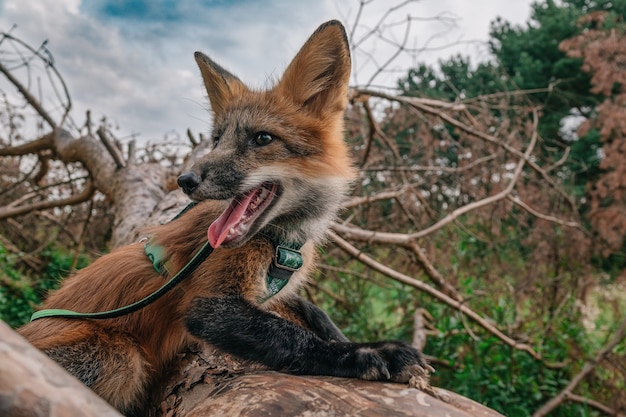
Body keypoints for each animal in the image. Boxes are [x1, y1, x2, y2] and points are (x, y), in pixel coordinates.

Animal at [19, 21, 428, 414]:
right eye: (217, 140)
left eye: (262, 139)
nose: (185, 180)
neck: (280, 243)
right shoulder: (208, 305)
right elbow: (293, 338)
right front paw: (366, 353)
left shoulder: (266, 292)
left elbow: (315, 313)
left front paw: (349, 339)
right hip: (121, 357)